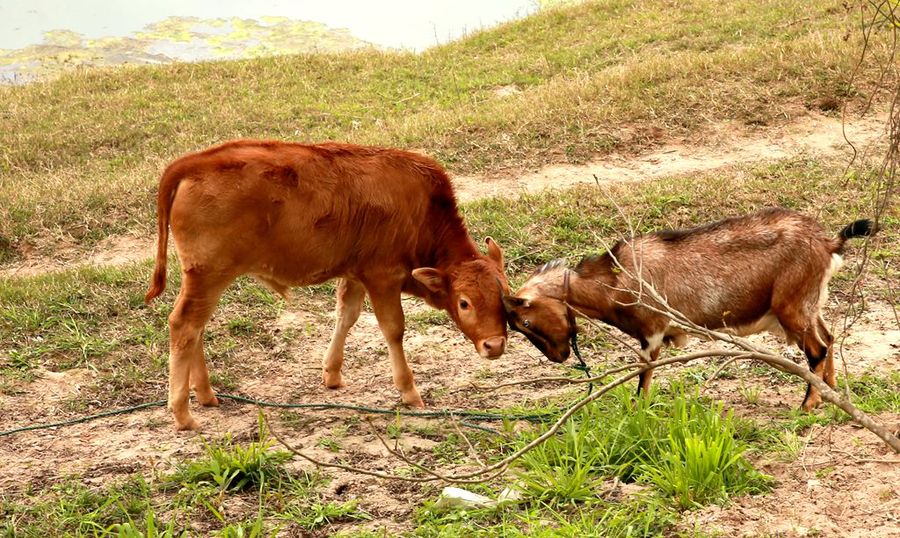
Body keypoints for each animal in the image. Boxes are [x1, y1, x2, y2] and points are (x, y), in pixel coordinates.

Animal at [149, 140, 512, 430]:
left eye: (504, 297)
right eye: (464, 302)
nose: (494, 345)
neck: (421, 210)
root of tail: (194, 162)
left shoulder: (355, 275)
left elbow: (346, 316)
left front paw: (332, 374)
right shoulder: (383, 277)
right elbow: (393, 329)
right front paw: (409, 392)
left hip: (203, 280)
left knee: (195, 329)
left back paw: (206, 395)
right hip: (209, 276)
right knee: (184, 325)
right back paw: (183, 414)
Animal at [500, 207, 872, 408]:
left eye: (525, 322)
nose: (558, 356)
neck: (613, 278)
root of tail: (828, 242)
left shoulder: (651, 330)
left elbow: (643, 375)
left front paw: (637, 410)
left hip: (791, 306)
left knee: (817, 349)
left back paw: (808, 404)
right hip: (810, 303)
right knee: (829, 339)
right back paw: (832, 396)